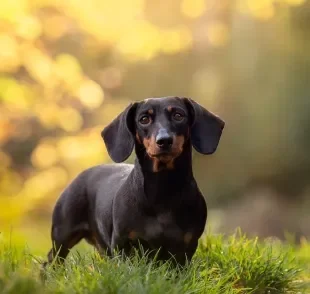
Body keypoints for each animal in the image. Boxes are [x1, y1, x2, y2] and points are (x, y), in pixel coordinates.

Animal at [43, 96, 225, 266]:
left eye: (178, 115)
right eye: (144, 119)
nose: (164, 140)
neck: (163, 190)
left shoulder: (186, 246)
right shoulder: (122, 244)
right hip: (62, 236)